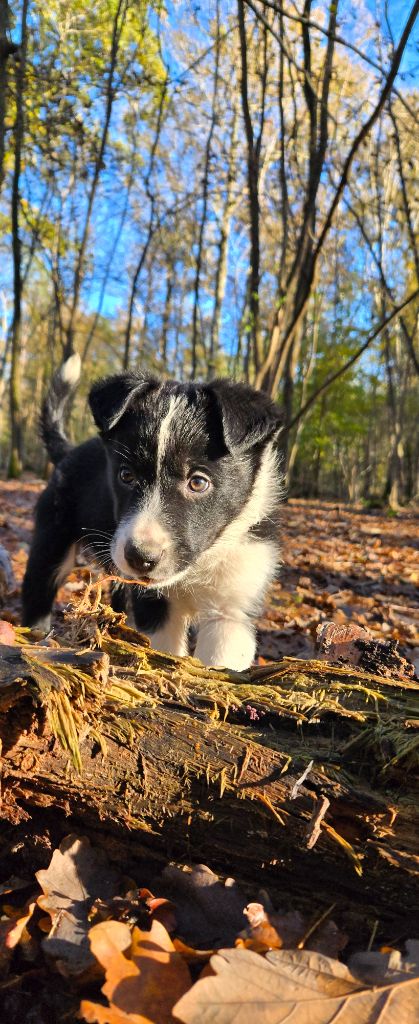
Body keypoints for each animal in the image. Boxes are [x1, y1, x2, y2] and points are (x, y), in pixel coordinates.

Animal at [23, 360, 284, 671]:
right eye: (126, 476)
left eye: (198, 482)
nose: (141, 557)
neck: (197, 565)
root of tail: (68, 451)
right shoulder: (154, 605)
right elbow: (163, 649)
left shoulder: (232, 607)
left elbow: (220, 662)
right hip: (52, 540)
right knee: (38, 590)